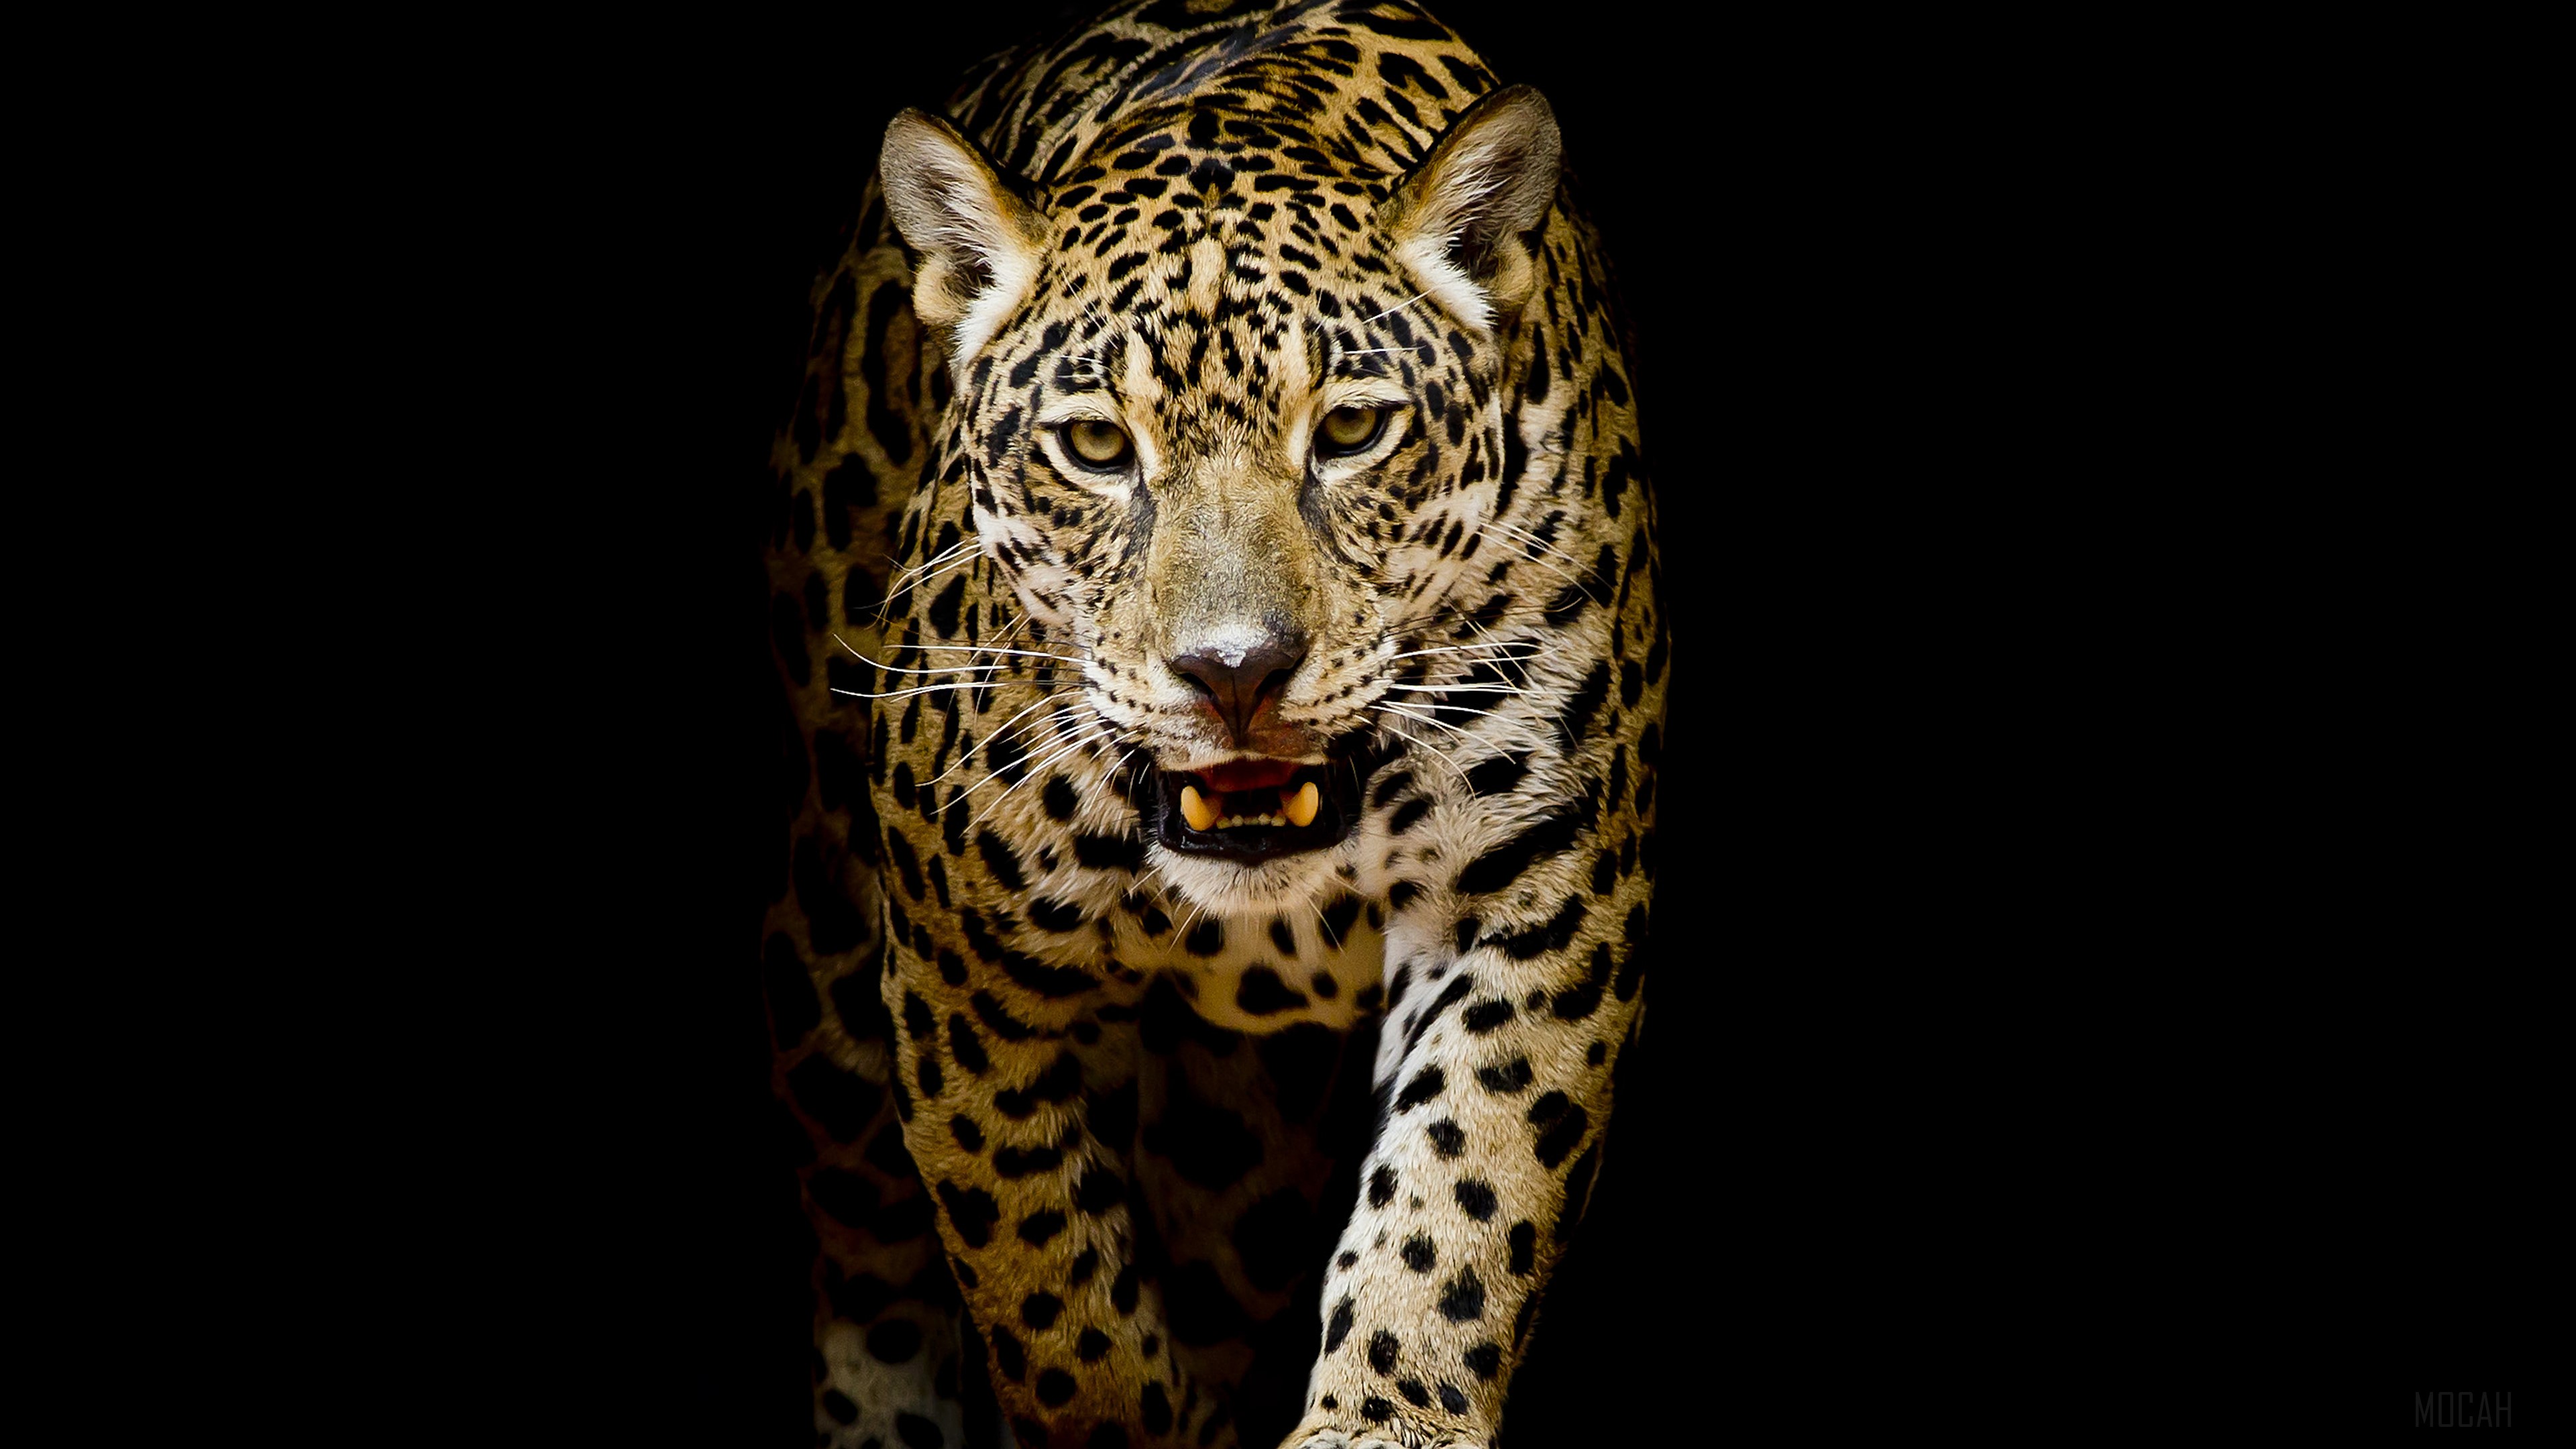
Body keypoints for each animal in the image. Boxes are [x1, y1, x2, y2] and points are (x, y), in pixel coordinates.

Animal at [759, 3, 1665, 1445]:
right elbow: (1052, 1295)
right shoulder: (964, 979)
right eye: (1094, 447)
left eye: (1351, 430)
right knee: (869, 1267)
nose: (1235, 672)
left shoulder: (1535, 897)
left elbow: (1462, 1194)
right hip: (828, 972)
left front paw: (1384, 1413)